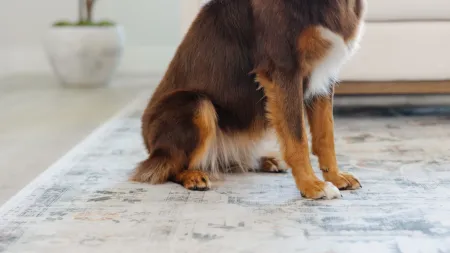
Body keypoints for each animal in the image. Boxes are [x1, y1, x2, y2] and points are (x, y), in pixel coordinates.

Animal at [130, 0, 366, 200]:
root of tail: (148, 142)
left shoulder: (324, 74)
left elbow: (326, 135)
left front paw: (334, 177)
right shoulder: (284, 69)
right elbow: (297, 138)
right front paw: (311, 185)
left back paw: (267, 161)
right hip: (196, 105)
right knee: (165, 166)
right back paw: (192, 176)